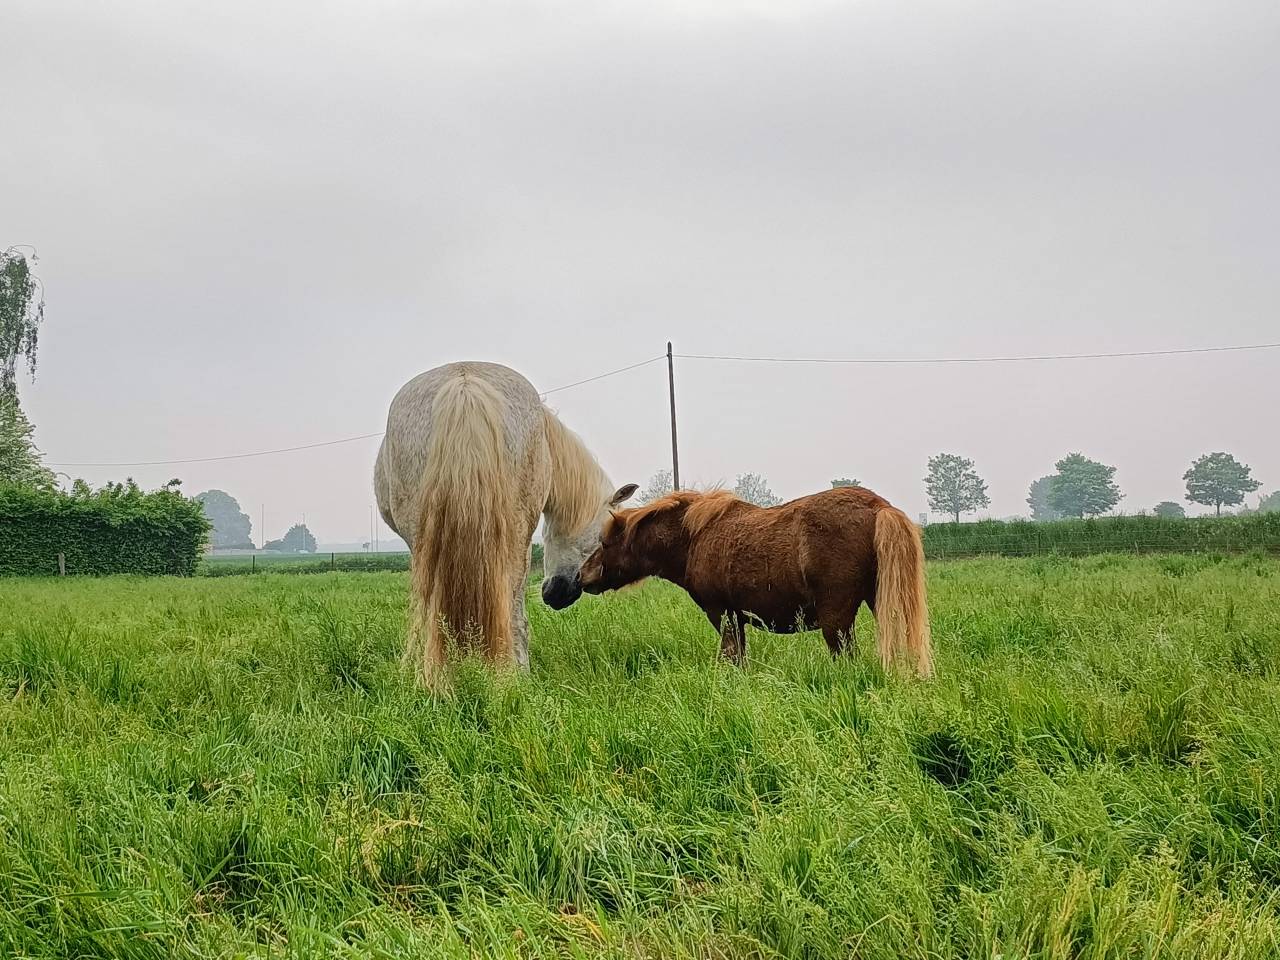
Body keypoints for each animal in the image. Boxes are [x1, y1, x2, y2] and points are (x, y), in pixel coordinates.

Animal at [579, 486, 933, 675]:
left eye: (605, 543)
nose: (582, 575)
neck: (694, 539)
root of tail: (879, 506)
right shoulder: (737, 617)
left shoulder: (722, 613)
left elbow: (730, 659)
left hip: (837, 620)